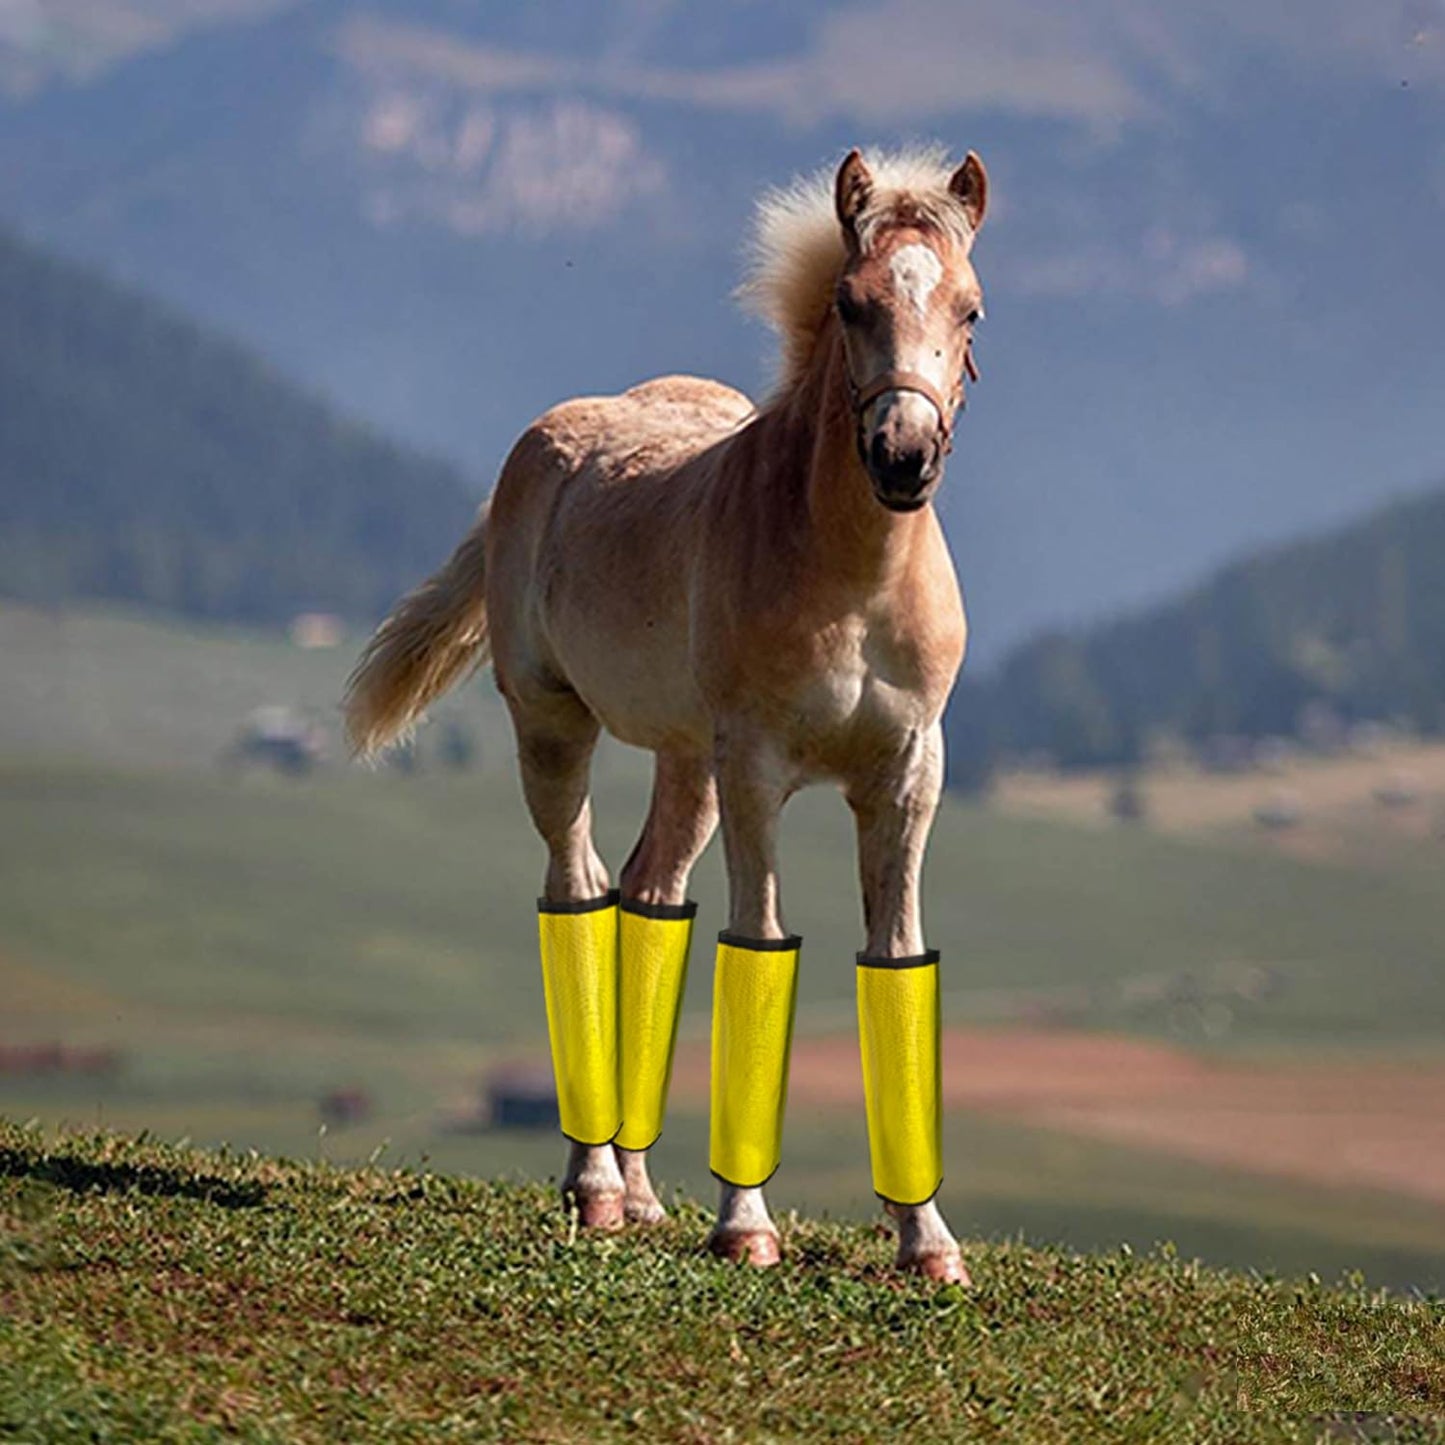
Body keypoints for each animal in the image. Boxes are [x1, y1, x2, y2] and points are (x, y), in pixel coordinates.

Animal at [345, 145, 988, 1282]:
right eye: (850, 301)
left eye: (970, 310)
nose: (902, 457)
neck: (851, 577)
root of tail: (539, 446)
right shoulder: (758, 767)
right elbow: (756, 941)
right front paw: (745, 1226)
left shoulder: (908, 770)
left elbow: (893, 955)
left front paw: (929, 1244)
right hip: (557, 725)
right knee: (578, 888)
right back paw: (597, 1188)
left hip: (686, 762)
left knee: (647, 901)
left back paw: (639, 1193)